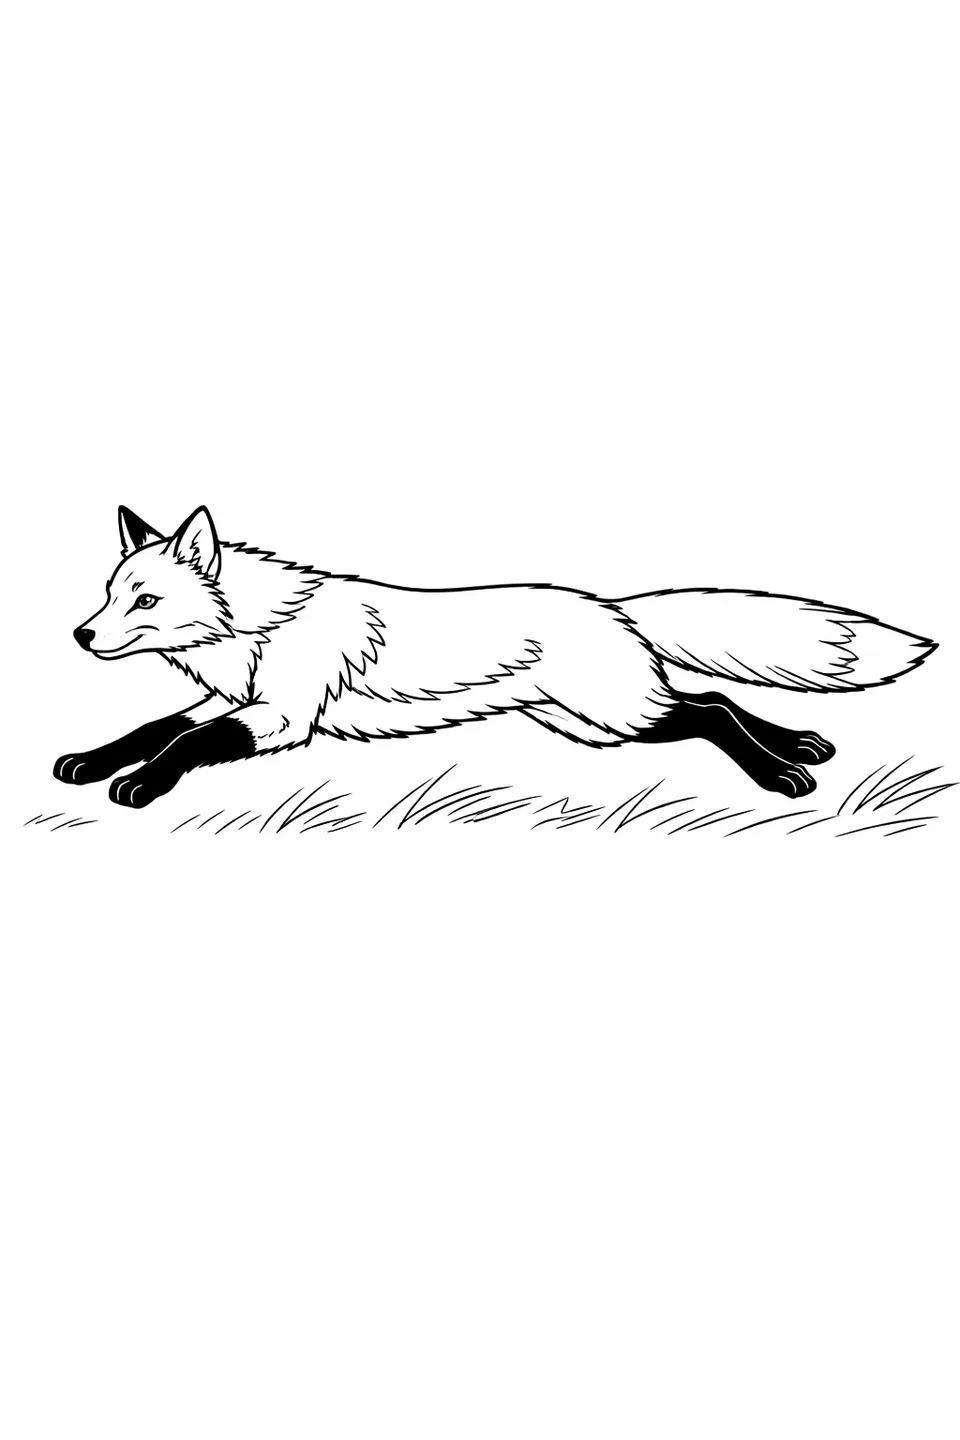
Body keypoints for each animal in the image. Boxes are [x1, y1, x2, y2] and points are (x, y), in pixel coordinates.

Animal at [55, 505, 937, 809]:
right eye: (109, 594)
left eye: (144, 601)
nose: (81, 638)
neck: (261, 631)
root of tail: (610, 606)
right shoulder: (231, 701)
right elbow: (154, 728)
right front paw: (89, 763)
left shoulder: (280, 719)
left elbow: (184, 744)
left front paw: (138, 787)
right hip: (595, 726)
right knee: (715, 702)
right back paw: (803, 746)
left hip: (614, 716)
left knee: (712, 710)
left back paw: (783, 775)